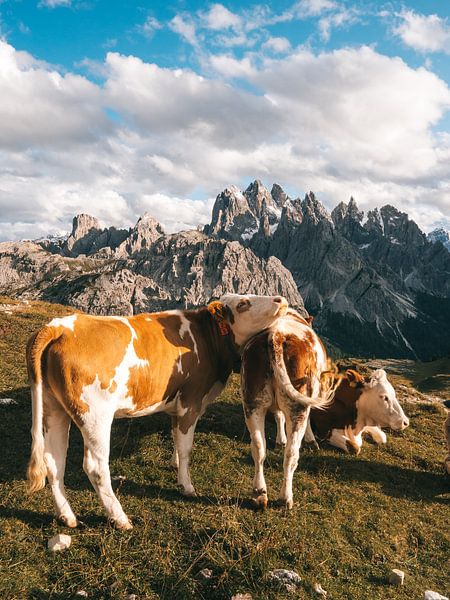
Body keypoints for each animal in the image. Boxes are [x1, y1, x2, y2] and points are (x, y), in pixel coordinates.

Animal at [26, 292, 288, 528]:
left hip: (54, 409)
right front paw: (186, 486)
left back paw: (67, 516)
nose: (281, 300)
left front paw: (174, 464)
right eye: (244, 303)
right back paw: (120, 519)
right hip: (94, 415)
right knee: (95, 468)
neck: (207, 339)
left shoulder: (176, 403)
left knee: (54, 462)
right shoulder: (191, 400)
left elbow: (175, 437)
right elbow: (186, 447)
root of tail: (59, 327)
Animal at [241, 310, 332, 510]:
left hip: (252, 401)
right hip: (298, 404)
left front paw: (280, 439)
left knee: (258, 447)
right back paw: (285, 498)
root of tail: (276, 334)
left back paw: (259, 494)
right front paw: (311, 441)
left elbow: (278, 416)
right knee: (291, 453)